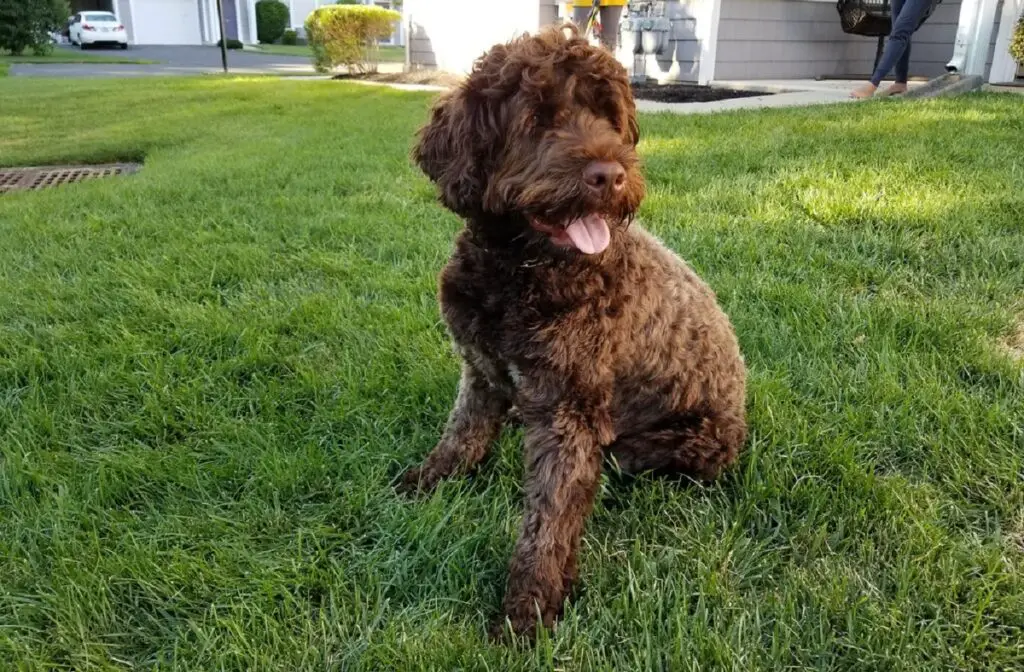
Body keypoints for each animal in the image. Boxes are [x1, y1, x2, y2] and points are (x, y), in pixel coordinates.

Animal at [397, 22, 745, 639]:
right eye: (537, 119)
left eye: (608, 116)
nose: (610, 175)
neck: (519, 271)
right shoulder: (480, 370)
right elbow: (461, 433)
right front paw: (431, 478)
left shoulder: (569, 414)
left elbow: (549, 516)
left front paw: (529, 607)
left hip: (678, 444)